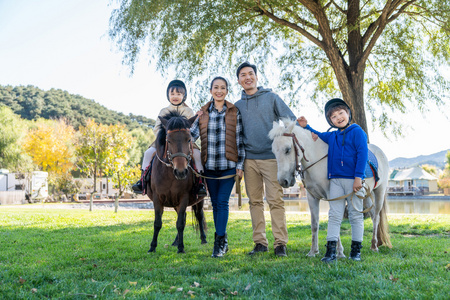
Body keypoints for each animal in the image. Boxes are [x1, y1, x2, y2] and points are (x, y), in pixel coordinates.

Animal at [147, 112, 207, 253]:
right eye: (168, 140)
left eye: (189, 139)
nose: (181, 172)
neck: (170, 175)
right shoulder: (157, 198)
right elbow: (157, 223)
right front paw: (152, 247)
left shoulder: (184, 197)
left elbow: (180, 224)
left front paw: (181, 248)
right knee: (184, 217)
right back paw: (175, 241)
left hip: (199, 200)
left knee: (199, 215)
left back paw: (203, 239)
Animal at [268, 120, 392, 258]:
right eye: (273, 151)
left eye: (288, 149)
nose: (283, 181)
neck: (318, 162)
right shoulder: (312, 197)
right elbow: (314, 223)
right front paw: (313, 251)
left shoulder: (332, 196)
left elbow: (334, 220)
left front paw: (339, 252)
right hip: (364, 195)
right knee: (371, 214)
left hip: (379, 192)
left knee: (376, 217)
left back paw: (374, 246)